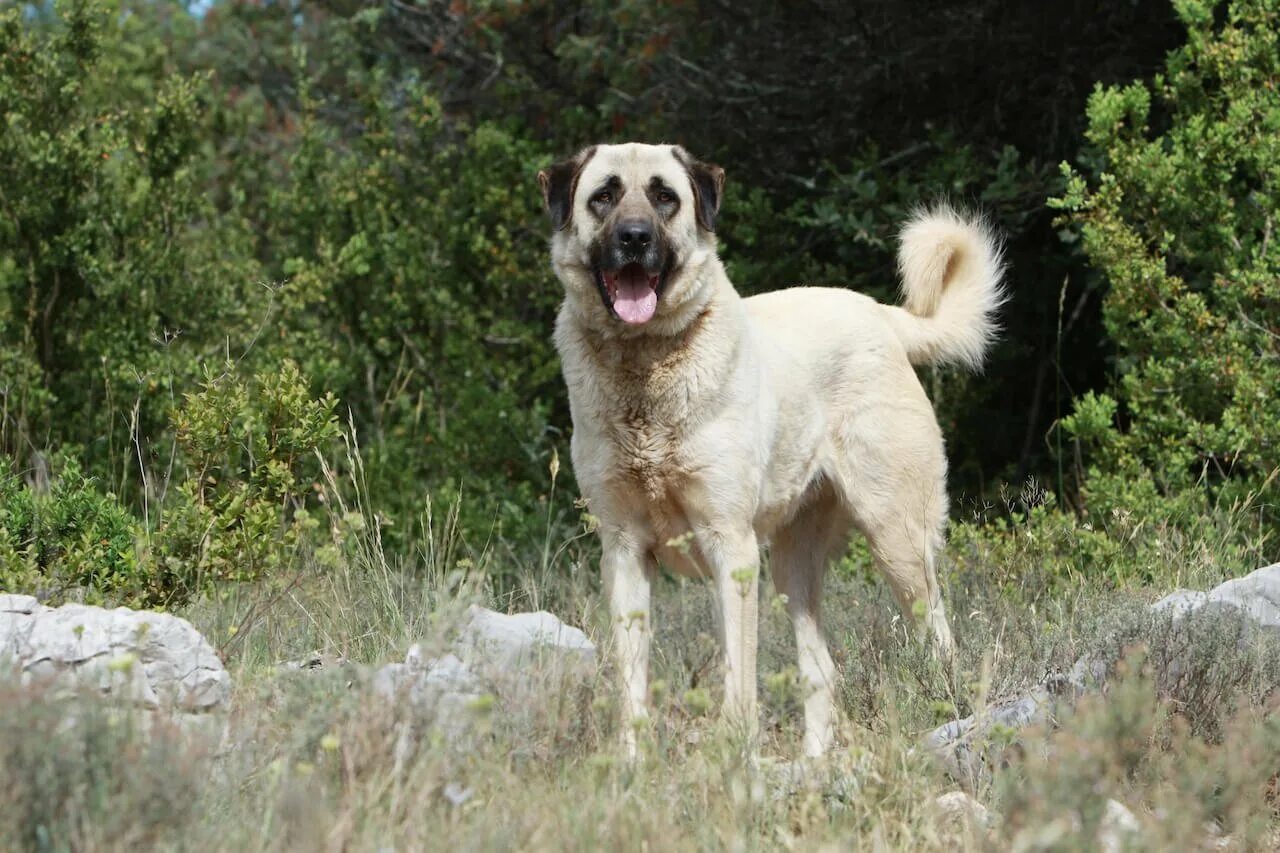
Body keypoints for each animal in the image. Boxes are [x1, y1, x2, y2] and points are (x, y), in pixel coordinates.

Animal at [535, 142, 1003, 753]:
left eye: (665, 197)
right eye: (604, 195)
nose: (635, 237)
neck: (645, 369)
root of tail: (880, 314)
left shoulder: (729, 547)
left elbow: (739, 679)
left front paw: (736, 759)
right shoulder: (624, 551)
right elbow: (631, 683)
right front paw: (633, 764)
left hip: (897, 539)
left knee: (940, 638)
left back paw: (954, 716)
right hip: (791, 566)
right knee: (821, 669)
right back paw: (815, 764)